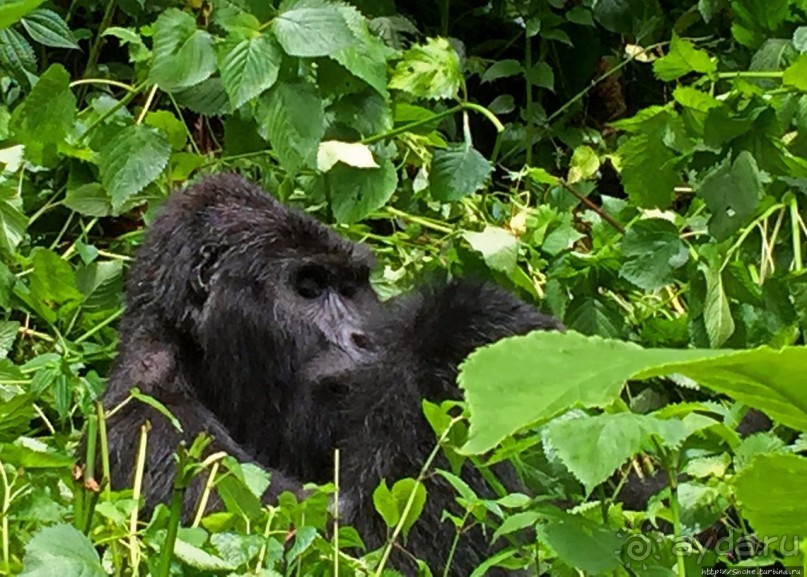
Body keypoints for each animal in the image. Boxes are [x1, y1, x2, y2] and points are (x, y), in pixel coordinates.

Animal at [96, 173, 560, 572]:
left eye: (350, 289)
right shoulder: (157, 429)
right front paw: (460, 324)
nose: (363, 337)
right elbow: (337, 548)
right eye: (309, 288)